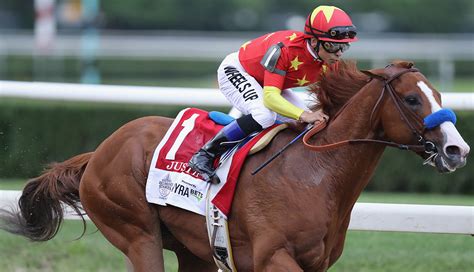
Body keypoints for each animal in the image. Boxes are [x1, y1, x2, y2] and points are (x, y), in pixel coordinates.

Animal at [0, 60, 468, 270]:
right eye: (412, 99)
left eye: (440, 96)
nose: (456, 150)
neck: (318, 176)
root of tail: (98, 152)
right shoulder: (273, 258)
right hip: (136, 233)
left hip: (193, 249)